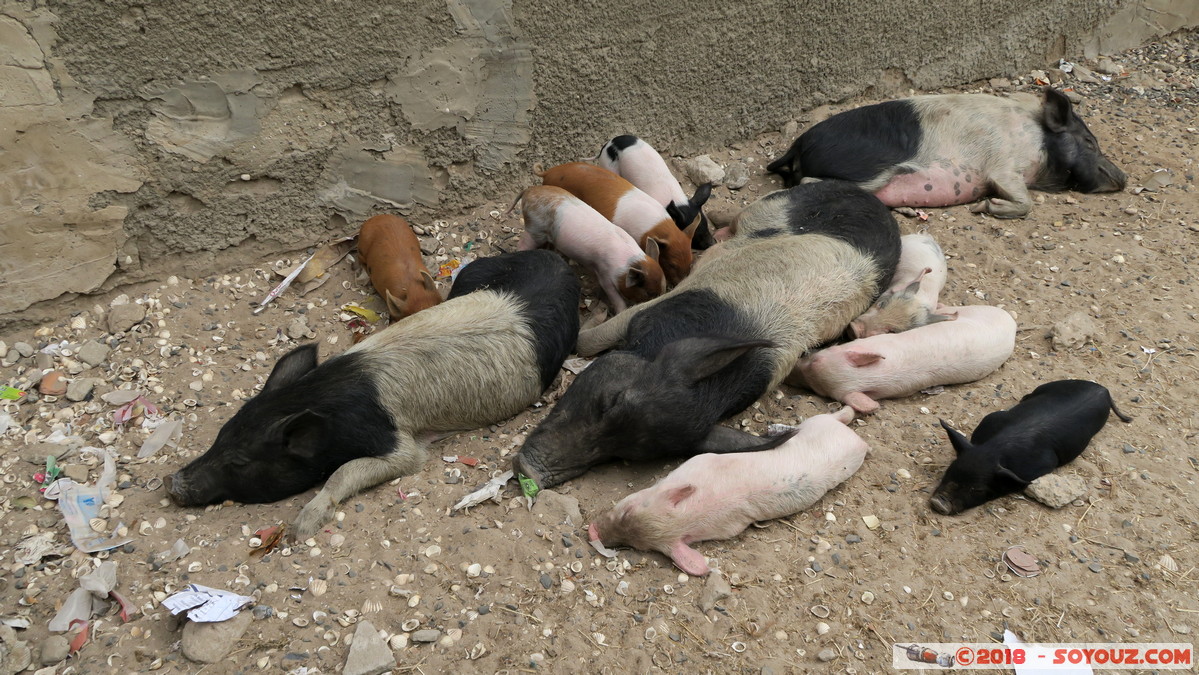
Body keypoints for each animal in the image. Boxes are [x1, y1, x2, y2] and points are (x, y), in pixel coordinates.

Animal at [164, 250, 580, 538]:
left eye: (240, 462)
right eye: (220, 435)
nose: (172, 484)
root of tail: (557, 261)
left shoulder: (396, 442)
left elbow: (352, 471)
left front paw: (300, 529)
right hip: (472, 274)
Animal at [515, 185, 664, 314]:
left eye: (663, 288)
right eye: (649, 293)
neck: (629, 263)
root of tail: (529, 190)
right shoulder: (604, 273)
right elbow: (613, 294)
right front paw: (621, 310)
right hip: (534, 228)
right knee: (522, 244)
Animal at [588, 407, 867, 576]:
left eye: (627, 511)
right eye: (632, 544)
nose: (593, 531)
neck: (692, 513)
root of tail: (857, 440)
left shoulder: (702, 461)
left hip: (817, 423)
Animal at [766, 88, 1127, 218]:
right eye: (1090, 142)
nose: (1123, 176)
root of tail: (797, 146)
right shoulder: (1003, 165)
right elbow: (1024, 201)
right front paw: (984, 206)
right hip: (867, 173)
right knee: (810, 184)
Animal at [929, 380, 1132, 515]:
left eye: (976, 490)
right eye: (950, 470)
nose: (939, 503)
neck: (996, 449)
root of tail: (1103, 390)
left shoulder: (1044, 464)